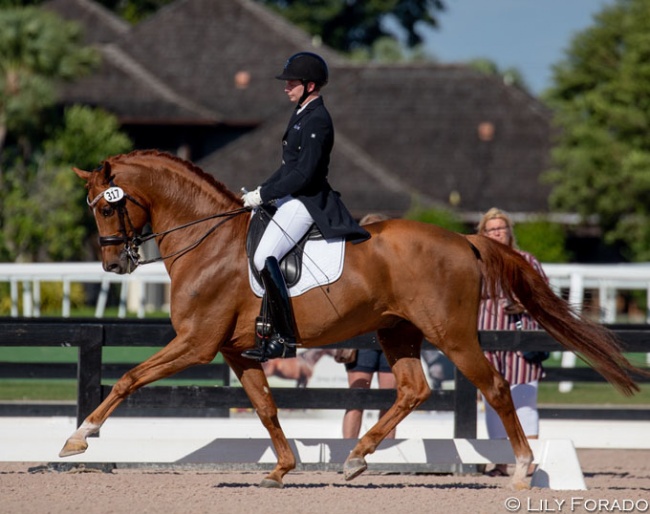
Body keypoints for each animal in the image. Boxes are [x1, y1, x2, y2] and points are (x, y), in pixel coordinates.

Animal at [63, 149, 640, 488]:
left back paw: (523, 469)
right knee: (413, 390)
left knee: (495, 387)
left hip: (451, 333)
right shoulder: (231, 348)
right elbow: (266, 406)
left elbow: (130, 377)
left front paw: (80, 436)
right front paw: (282, 468)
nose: (113, 266)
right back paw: (357, 458)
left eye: (107, 207)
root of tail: (465, 239)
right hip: (397, 331)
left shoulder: (197, 342)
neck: (208, 241)